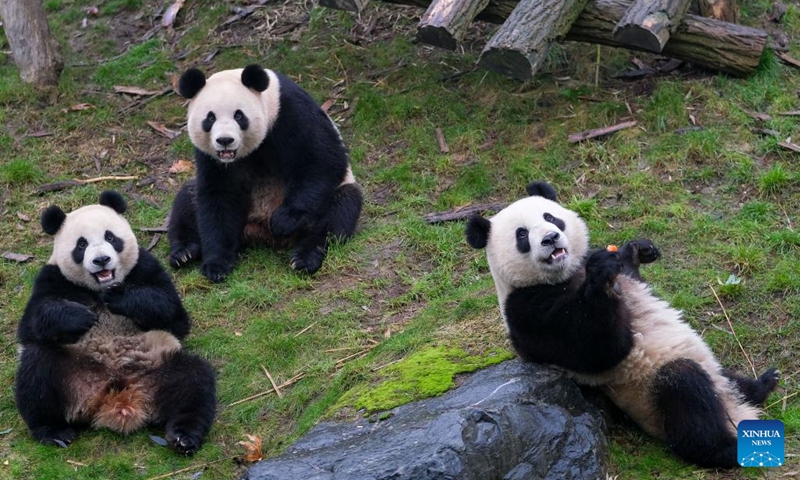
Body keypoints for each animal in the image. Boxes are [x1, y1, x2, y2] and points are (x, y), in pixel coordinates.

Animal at [16, 190, 216, 454]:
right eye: (81, 244)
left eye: (110, 237)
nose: (101, 260)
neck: (98, 288)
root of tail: (116, 399)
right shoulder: (52, 278)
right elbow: (31, 326)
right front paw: (80, 317)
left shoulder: (145, 266)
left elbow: (174, 316)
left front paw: (119, 298)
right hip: (71, 371)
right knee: (37, 371)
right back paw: (53, 431)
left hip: (157, 368)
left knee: (194, 380)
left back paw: (184, 436)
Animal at [169, 63, 362, 282]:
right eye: (210, 118)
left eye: (238, 115)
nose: (225, 140)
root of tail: (261, 230)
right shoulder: (209, 155)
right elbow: (218, 195)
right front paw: (217, 264)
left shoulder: (290, 111)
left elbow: (323, 160)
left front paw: (284, 220)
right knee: (187, 199)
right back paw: (184, 252)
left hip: (331, 199)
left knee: (339, 211)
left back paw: (305, 257)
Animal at [466, 181, 780, 468]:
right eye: (521, 235)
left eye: (550, 217)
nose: (551, 238)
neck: (563, 276)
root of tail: (736, 412)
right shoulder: (525, 310)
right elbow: (596, 349)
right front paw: (601, 277)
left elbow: (629, 270)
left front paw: (637, 249)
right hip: (651, 398)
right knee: (685, 392)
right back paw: (725, 450)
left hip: (711, 372)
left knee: (727, 377)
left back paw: (763, 385)